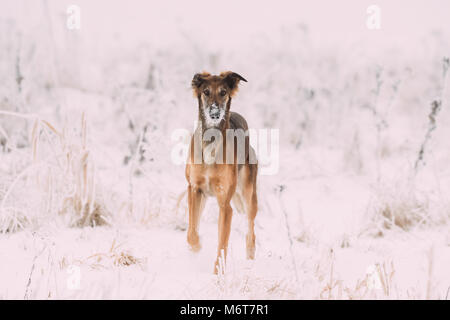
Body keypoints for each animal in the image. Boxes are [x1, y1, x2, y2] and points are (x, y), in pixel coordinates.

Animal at [185, 71, 256, 274]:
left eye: (223, 92)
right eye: (206, 92)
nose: (214, 113)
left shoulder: (225, 204)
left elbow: (222, 243)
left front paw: (218, 274)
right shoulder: (194, 189)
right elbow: (191, 231)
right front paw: (196, 247)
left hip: (248, 194)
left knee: (250, 229)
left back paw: (250, 259)